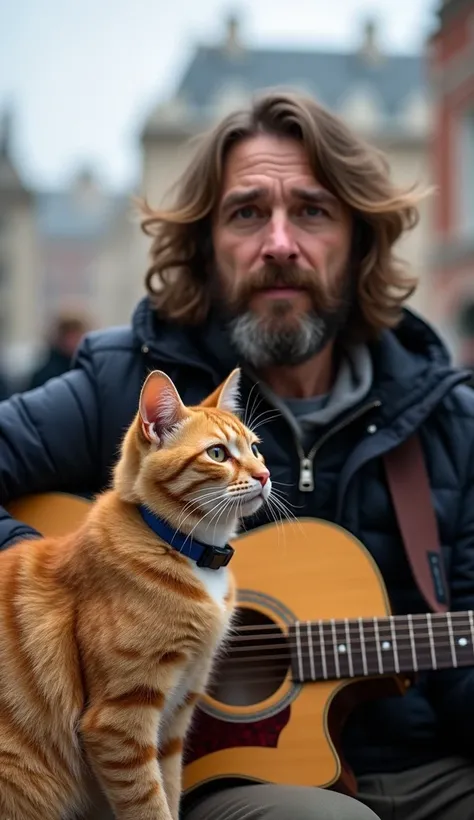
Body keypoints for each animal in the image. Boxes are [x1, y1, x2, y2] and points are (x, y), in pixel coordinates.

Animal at [0, 368, 270, 820]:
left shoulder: (175, 718)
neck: (188, 551)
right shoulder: (117, 722)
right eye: (217, 453)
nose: (266, 475)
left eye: (254, 448)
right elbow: (148, 804)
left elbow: (169, 790)